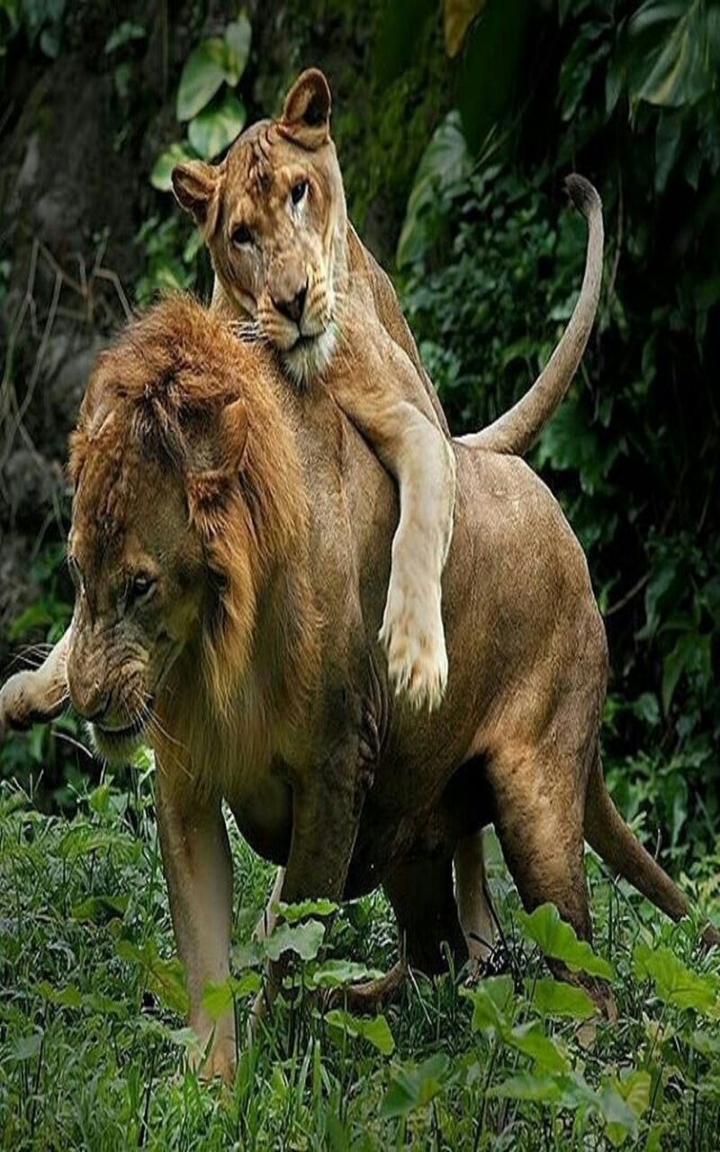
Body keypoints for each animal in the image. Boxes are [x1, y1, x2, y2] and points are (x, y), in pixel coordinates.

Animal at [2, 294, 714, 1085]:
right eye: (76, 572)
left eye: (140, 585)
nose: (90, 701)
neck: (219, 645)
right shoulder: (187, 785)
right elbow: (207, 956)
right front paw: (211, 1084)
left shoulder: (337, 772)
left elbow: (291, 942)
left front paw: (269, 1056)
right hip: (411, 843)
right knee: (443, 962)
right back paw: (361, 1002)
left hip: (535, 802)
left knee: (586, 983)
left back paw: (563, 1061)